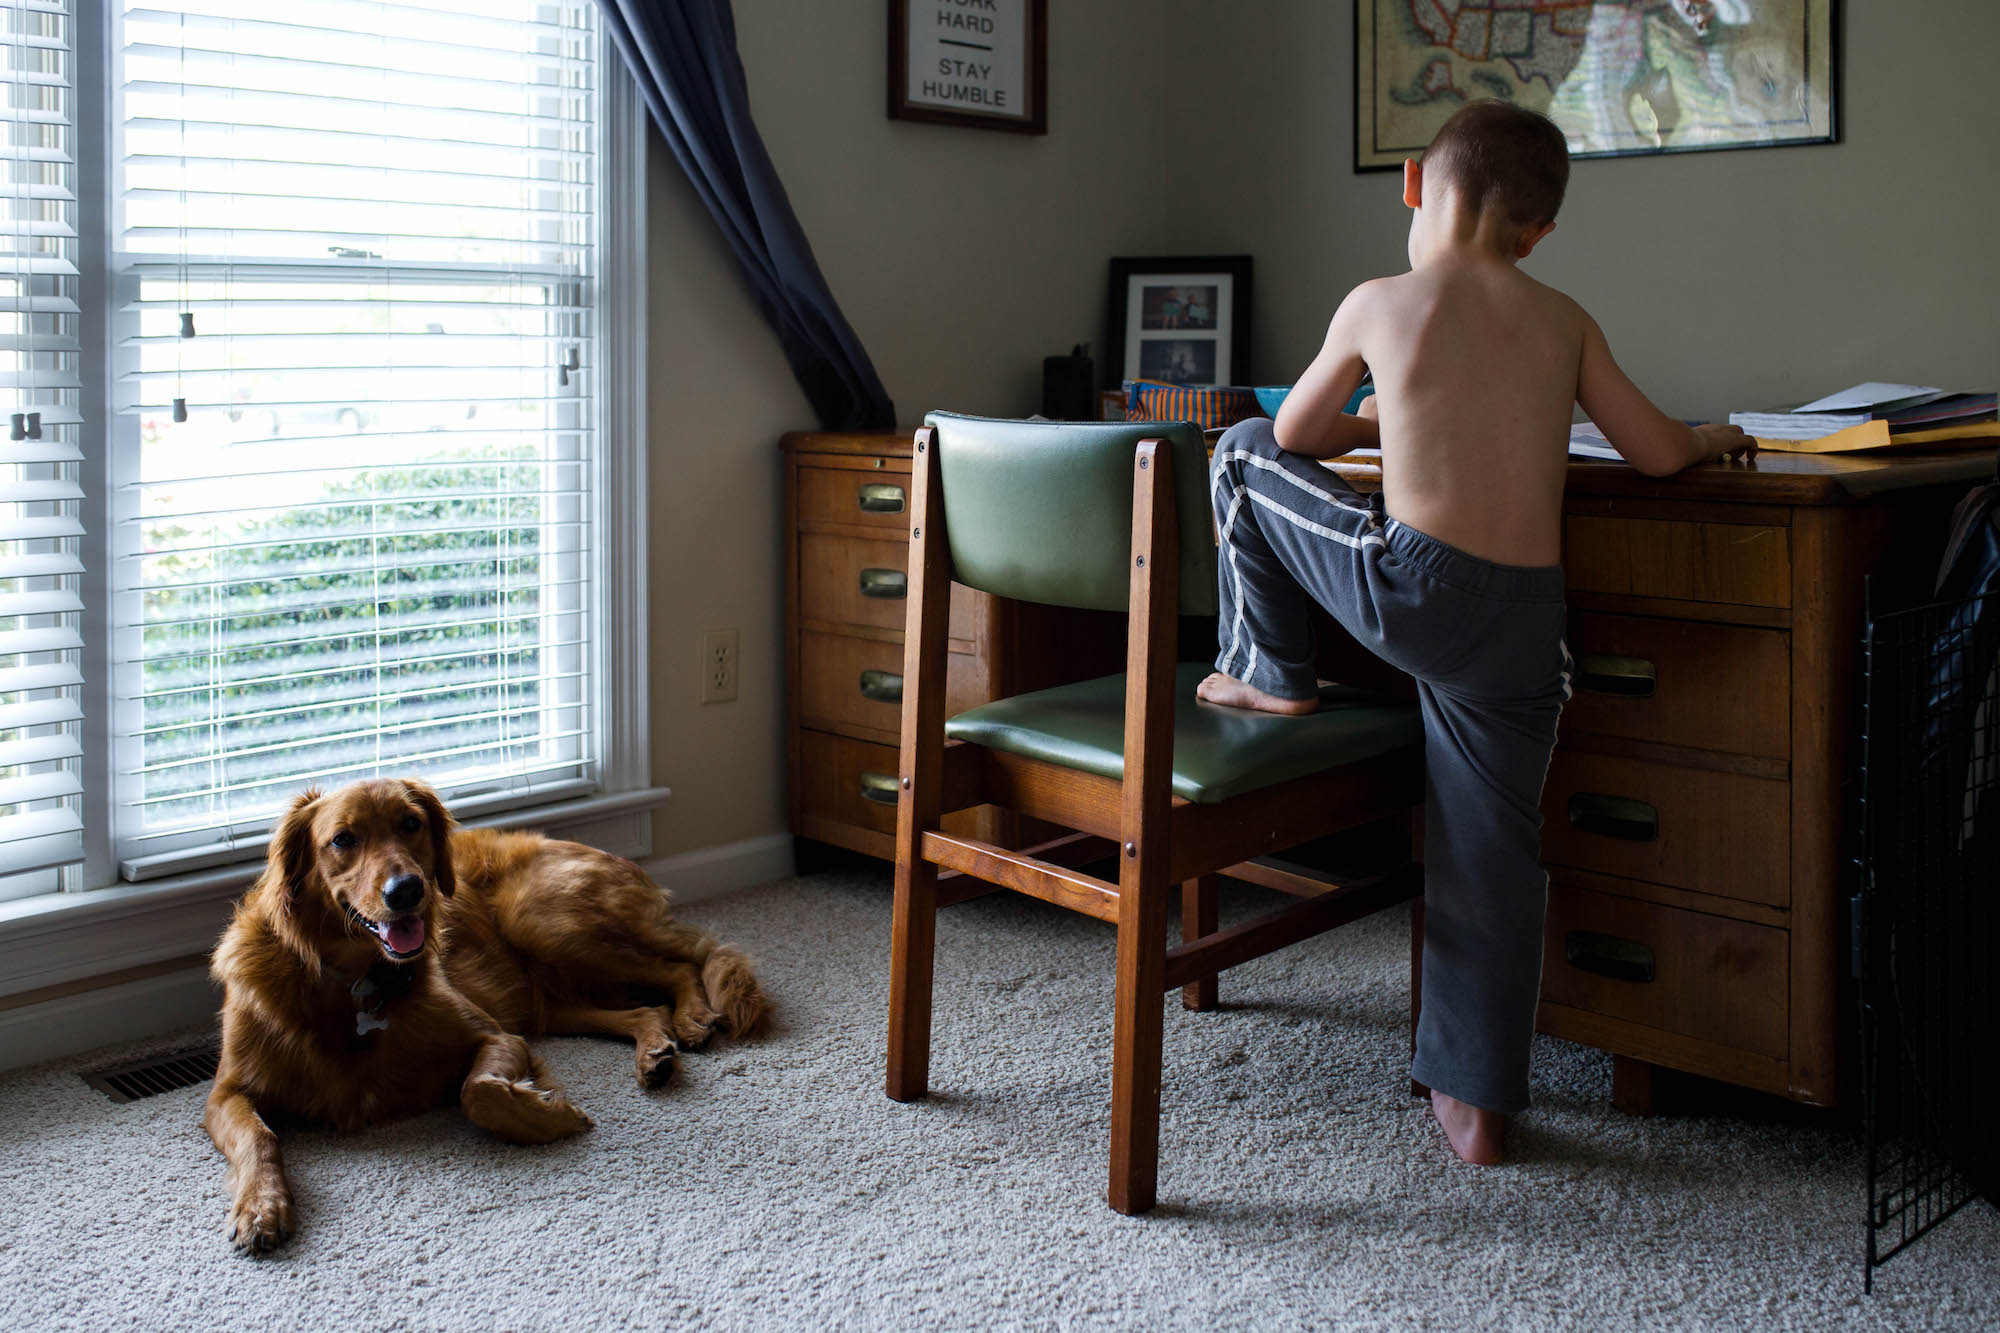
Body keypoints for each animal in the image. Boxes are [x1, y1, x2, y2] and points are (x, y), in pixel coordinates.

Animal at [203, 772, 764, 1248]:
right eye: (343, 839)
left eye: (411, 824)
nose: (408, 890)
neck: (350, 981)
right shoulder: (225, 1093)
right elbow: (260, 1137)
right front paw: (261, 1206)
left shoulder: (495, 1035)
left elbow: (479, 1092)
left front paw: (548, 1116)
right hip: (551, 999)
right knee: (647, 1008)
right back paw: (656, 1052)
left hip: (546, 924)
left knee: (683, 965)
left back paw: (692, 1018)